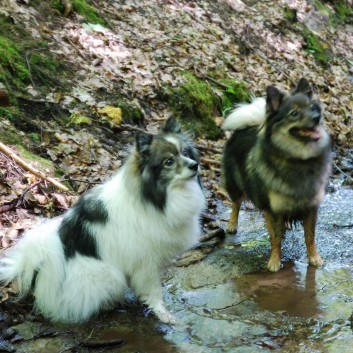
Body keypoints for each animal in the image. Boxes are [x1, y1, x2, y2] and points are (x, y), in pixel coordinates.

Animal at [0, 117, 205, 324]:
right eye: (168, 161)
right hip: (107, 275)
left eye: (185, 153)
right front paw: (164, 314)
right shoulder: (146, 262)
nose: (194, 165)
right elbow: (154, 292)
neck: (157, 199)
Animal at [223, 79, 330, 272]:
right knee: (236, 203)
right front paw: (274, 261)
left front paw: (314, 258)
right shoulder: (270, 208)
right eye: (294, 113)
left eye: (312, 108)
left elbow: (310, 236)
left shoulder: (311, 207)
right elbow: (275, 237)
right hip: (235, 183)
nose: (316, 118)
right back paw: (232, 224)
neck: (298, 159)